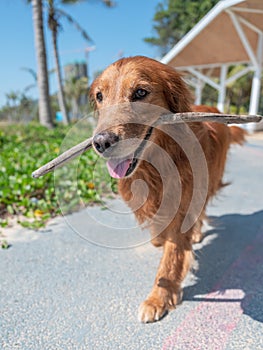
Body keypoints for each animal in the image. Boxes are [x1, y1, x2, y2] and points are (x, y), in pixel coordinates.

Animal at [89, 55, 248, 322]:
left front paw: (158, 299)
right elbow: (160, 230)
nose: (101, 142)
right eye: (100, 96)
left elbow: (171, 258)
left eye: (140, 92)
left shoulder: (183, 205)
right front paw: (158, 238)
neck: (157, 165)